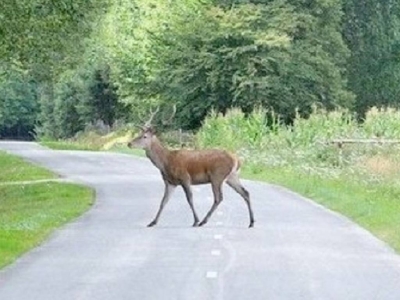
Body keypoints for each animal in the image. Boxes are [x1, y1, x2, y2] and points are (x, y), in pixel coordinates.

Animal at [126, 106, 255, 227]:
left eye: (145, 136)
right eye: (139, 134)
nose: (129, 143)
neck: (166, 162)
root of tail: (236, 159)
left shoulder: (185, 177)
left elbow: (190, 199)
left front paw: (195, 221)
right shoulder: (170, 182)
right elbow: (163, 201)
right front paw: (153, 222)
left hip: (217, 176)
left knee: (219, 198)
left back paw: (203, 221)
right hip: (232, 177)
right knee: (245, 193)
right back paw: (251, 222)